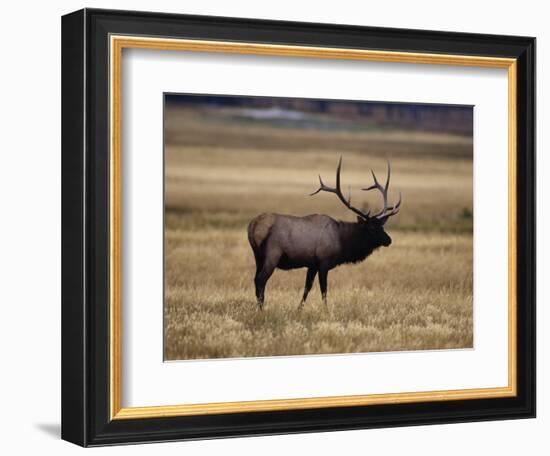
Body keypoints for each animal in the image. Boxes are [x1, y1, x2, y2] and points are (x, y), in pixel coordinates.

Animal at [248, 157, 404, 310]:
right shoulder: (324, 262)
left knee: (255, 279)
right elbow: (324, 290)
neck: (342, 242)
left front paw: (299, 309)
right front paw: (326, 310)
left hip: (258, 256)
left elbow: (307, 287)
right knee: (261, 280)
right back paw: (261, 309)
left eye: (382, 226)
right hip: (272, 254)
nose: (389, 240)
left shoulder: (312, 264)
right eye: (371, 228)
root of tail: (253, 226)